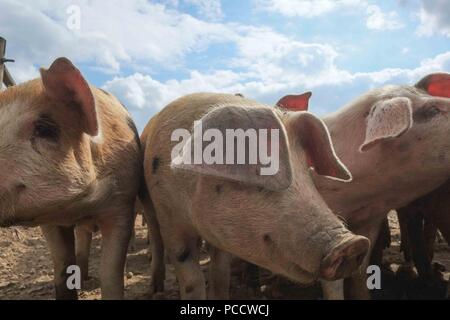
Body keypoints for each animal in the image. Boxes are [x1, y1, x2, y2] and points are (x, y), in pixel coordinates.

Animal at [0, 57, 141, 300]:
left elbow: (111, 272)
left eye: (45, 130)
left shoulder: (122, 201)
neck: (74, 207)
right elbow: (63, 266)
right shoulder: (48, 220)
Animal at [140, 92, 370, 300]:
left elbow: (220, 275)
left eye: (305, 170)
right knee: (155, 235)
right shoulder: (169, 216)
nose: (352, 245)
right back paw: (155, 289)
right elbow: (190, 277)